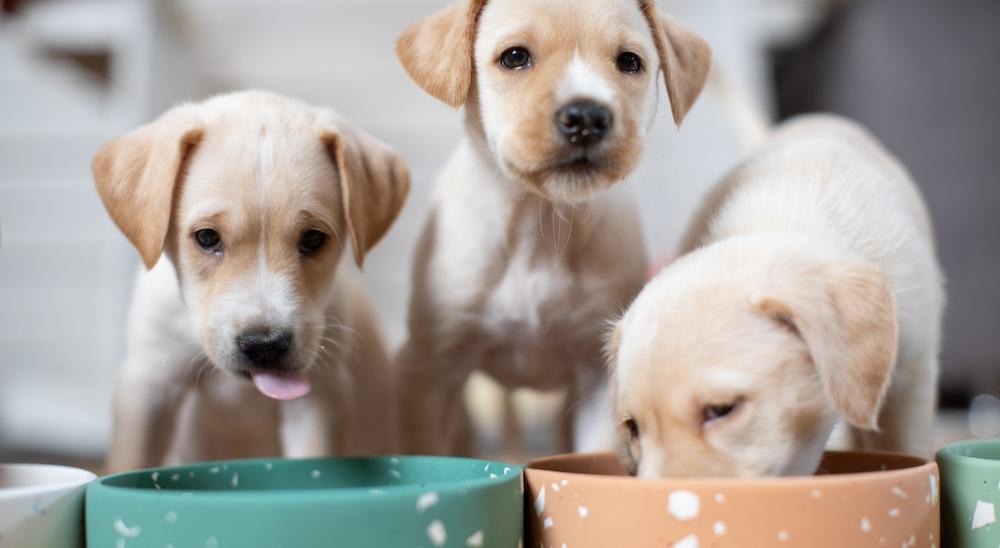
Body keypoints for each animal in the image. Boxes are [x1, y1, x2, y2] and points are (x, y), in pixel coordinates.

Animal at [91, 92, 410, 474]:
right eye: (207, 237)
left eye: (313, 239)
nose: (264, 346)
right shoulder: (149, 383)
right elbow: (130, 460)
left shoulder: (318, 397)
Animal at [390, 0, 712, 454]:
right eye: (514, 57)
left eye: (629, 62)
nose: (587, 117)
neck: (539, 226)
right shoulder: (429, 370)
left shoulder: (598, 377)